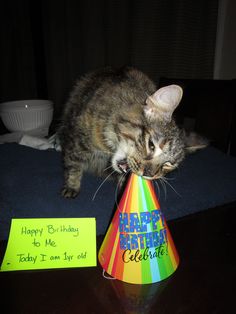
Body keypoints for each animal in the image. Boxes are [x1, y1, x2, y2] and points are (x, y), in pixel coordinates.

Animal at [58, 67, 206, 197]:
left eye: (168, 164)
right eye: (151, 145)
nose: (149, 174)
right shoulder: (76, 139)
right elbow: (73, 164)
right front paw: (72, 186)